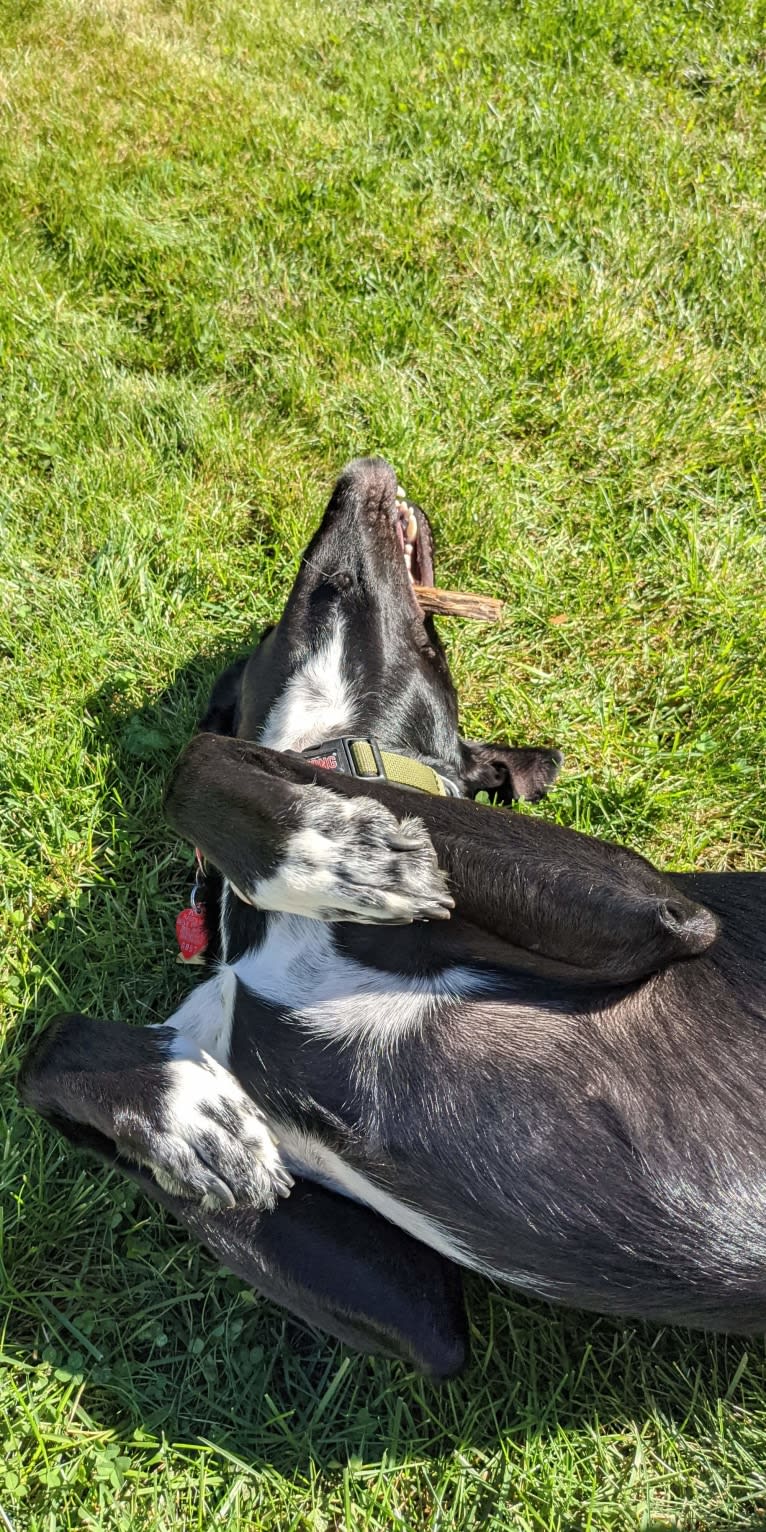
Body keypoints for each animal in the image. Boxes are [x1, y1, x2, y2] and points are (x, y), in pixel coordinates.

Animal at [20, 453, 766, 1378]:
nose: (365, 465)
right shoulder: (419, 1324)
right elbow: (50, 1049)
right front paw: (187, 1123)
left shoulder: (645, 898)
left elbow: (197, 761)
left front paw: (340, 852)